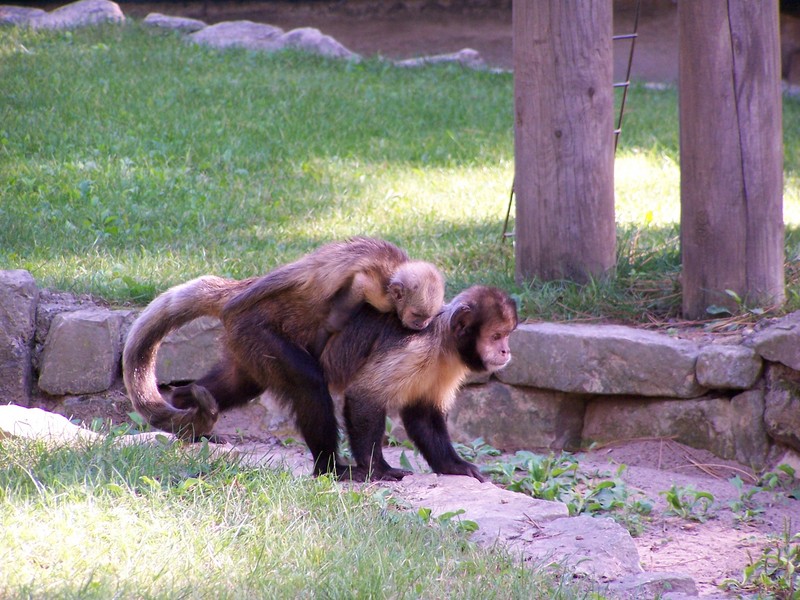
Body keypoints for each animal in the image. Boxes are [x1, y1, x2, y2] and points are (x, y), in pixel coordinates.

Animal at [124, 237, 444, 476]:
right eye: (418, 316)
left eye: (426, 319)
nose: (421, 326)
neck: (394, 268)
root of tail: (238, 289)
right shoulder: (376, 288)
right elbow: (344, 304)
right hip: (252, 326)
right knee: (307, 378)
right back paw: (331, 467)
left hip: (245, 342)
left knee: (242, 383)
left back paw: (185, 407)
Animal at [322, 284, 516, 480]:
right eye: (496, 336)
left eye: (507, 336)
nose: (506, 351)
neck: (443, 342)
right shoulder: (415, 350)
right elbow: (364, 395)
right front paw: (377, 468)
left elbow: (423, 413)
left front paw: (453, 466)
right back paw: (329, 469)